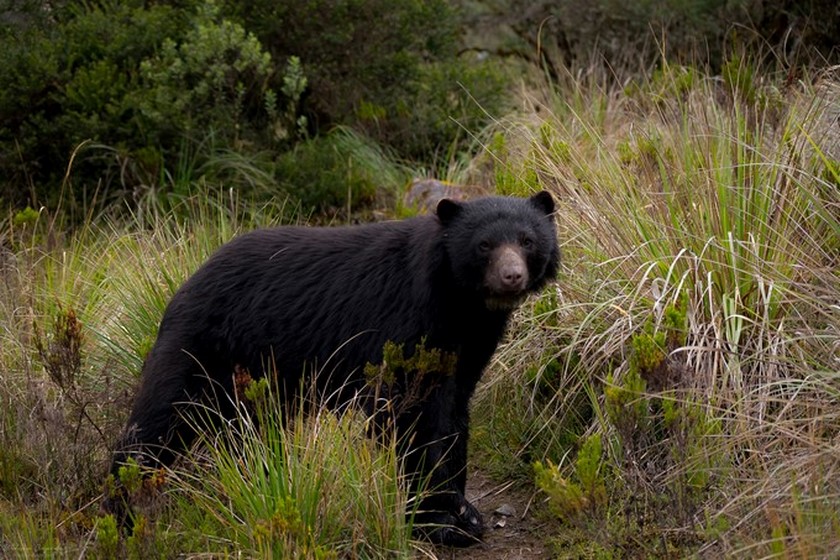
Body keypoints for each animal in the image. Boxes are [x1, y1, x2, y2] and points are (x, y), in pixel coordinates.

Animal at [104, 191, 559, 547]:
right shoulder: (403, 326)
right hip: (200, 350)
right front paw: (438, 520)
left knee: (247, 436)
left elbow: (452, 414)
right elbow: (410, 416)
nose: (511, 276)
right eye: (484, 245)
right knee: (157, 423)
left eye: (527, 240)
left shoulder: (469, 345)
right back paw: (121, 511)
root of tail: (185, 285)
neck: (461, 304)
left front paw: (463, 512)